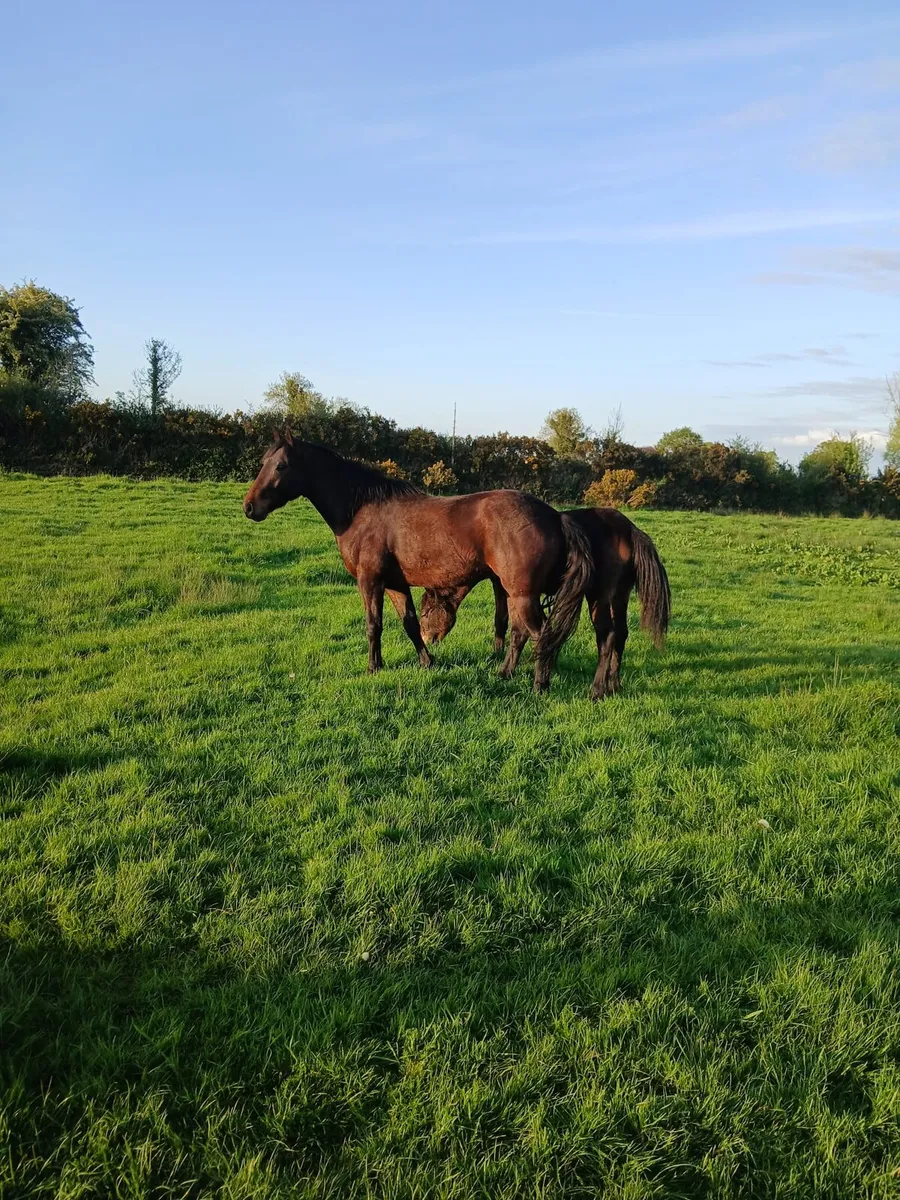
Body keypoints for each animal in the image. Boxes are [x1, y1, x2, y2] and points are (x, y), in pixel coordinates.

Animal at [243, 431, 594, 692]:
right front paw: (427, 662)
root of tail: (555, 516)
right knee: (521, 633)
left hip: (521, 593)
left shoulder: (370, 582)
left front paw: (373, 667)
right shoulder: (395, 584)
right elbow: (410, 624)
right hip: (515, 592)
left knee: (539, 634)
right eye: (264, 462)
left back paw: (540, 685)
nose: (249, 507)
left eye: (281, 466)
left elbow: (373, 626)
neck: (362, 510)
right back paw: (504, 673)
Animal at [419, 507, 670, 700]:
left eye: (424, 614)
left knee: (607, 635)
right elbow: (518, 631)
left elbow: (503, 621)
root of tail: (629, 529)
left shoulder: (505, 587)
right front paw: (506, 668)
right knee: (621, 634)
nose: (427, 639)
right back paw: (614, 684)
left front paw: (498, 656)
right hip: (619, 597)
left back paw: (597, 690)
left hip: (600, 597)